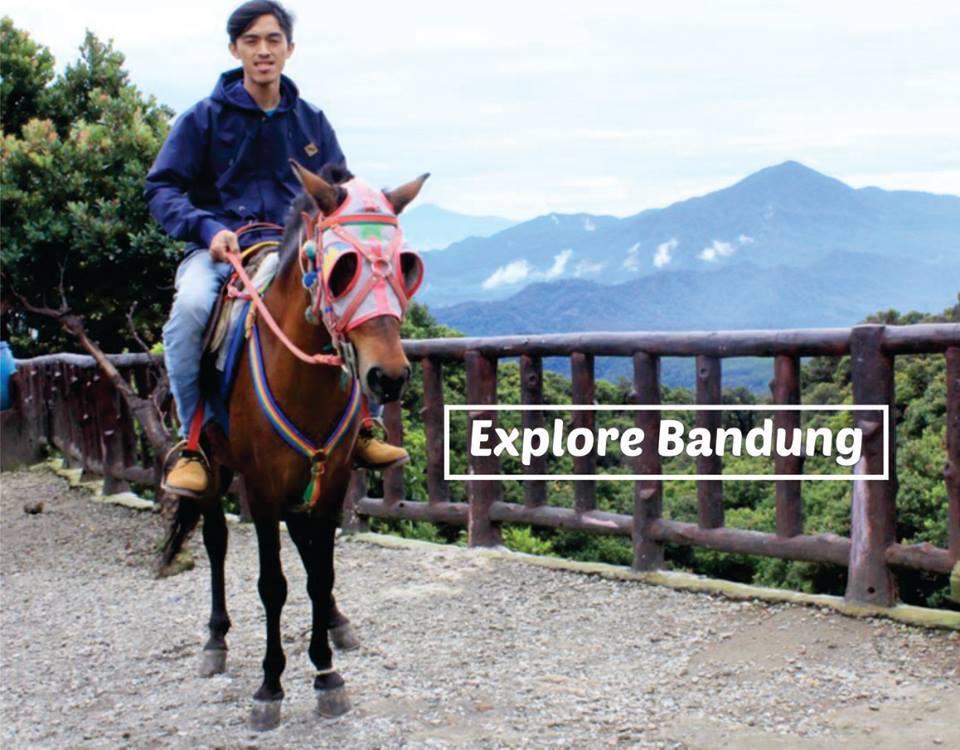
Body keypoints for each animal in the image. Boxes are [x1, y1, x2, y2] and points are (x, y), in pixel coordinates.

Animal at [160, 162, 428, 732]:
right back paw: (215, 640)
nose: (389, 376)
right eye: (342, 268)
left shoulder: (333, 481)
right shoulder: (261, 486)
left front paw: (326, 673)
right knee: (216, 541)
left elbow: (320, 573)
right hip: (218, 466)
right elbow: (273, 584)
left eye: (405, 266)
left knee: (307, 552)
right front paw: (271, 686)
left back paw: (337, 623)